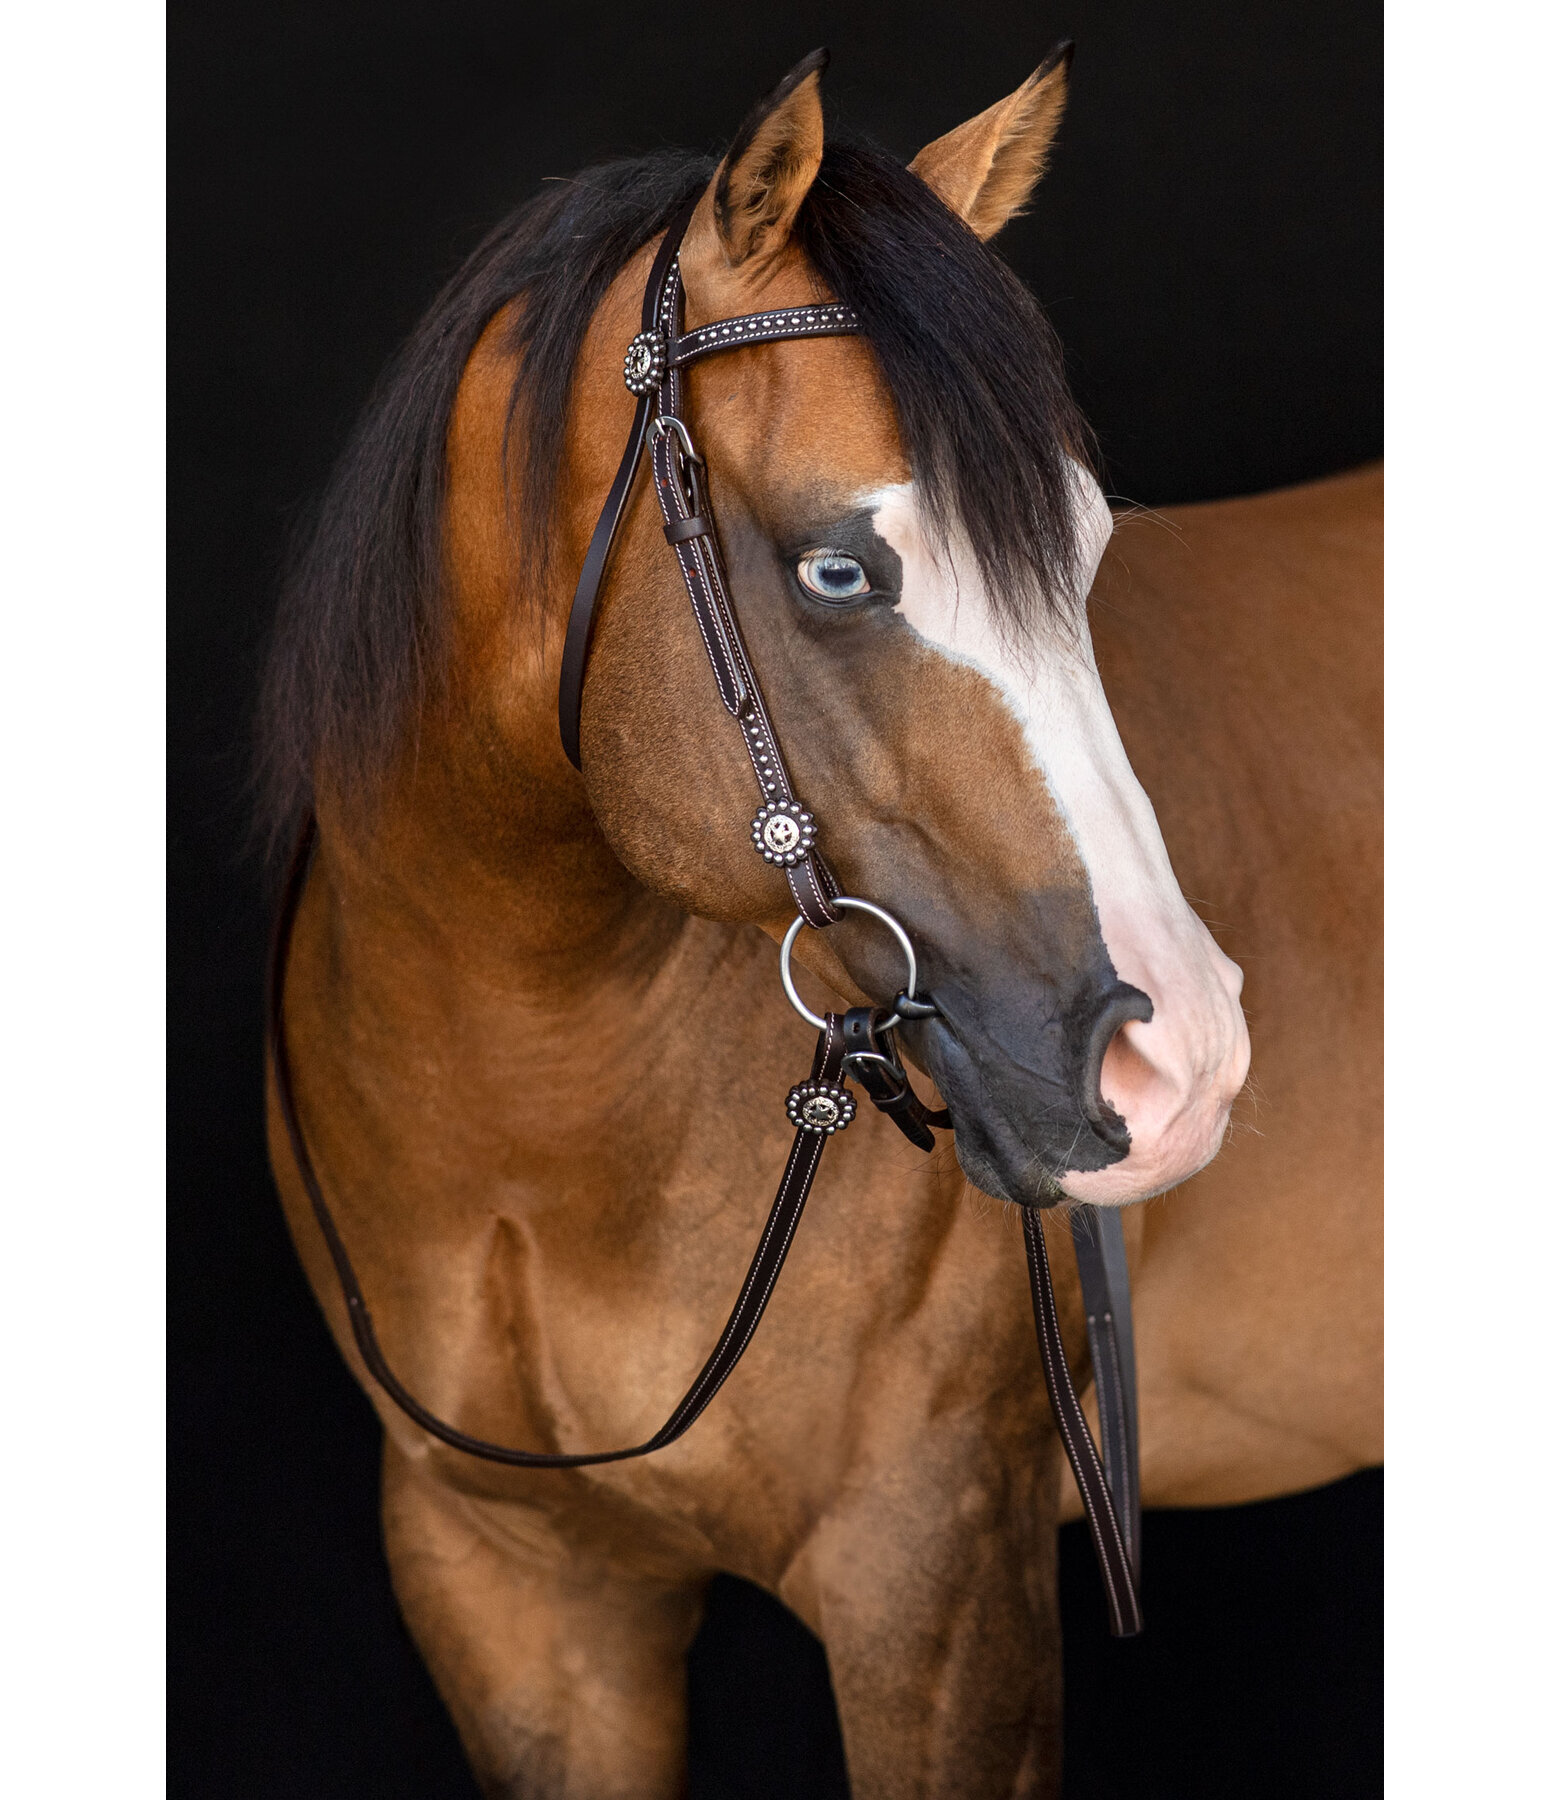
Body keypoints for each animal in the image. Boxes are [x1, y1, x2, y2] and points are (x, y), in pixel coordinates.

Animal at [257, 49, 1375, 1792]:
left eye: (1084, 552)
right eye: (838, 572)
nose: (1177, 1064)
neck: (531, 1133)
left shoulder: (936, 1584)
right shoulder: (515, 1591)